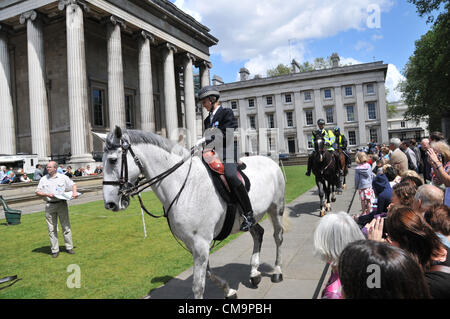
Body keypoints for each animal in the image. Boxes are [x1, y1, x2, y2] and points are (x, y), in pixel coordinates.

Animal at [100, 127, 286, 300]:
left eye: (113, 160)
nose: (110, 203)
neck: (184, 185)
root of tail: (269, 160)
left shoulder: (201, 242)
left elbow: (198, 286)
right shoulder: (193, 244)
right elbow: (208, 274)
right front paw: (229, 290)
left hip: (276, 208)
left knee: (278, 236)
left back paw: (277, 271)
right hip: (249, 217)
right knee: (258, 233)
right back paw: (254, 273)